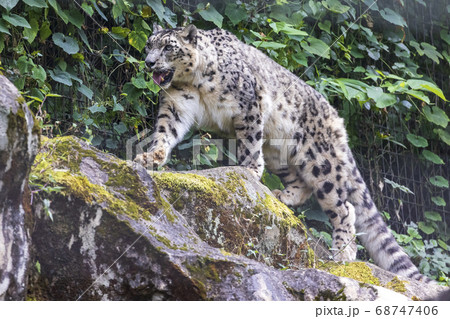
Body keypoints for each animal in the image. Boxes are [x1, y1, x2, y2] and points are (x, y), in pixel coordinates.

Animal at [134, 23, 432, 284]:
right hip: (279, 154)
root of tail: (336, 118)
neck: (193, 83)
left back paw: (342, 253)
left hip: (320, 162)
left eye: (168, 47)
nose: (149, 63)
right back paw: (282, 196)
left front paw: (249, 170)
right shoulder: (176, 105)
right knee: (302, 183)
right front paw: (151, 157)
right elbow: (165, 131)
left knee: (343, 205)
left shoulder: (248, 105)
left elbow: (249, 143)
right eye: (149, 45)